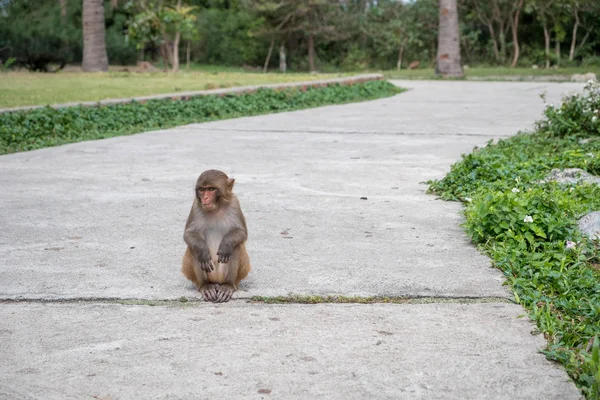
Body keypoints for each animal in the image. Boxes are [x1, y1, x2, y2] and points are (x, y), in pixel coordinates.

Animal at [180, 170, 251, 304]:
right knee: (193, 249)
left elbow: (241, 232)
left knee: (236, 247)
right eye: (202, 190)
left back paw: (228, 285)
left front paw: (226, 245)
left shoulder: (234, 203)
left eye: (211, 189)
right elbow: (189, 234)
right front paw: (203, 251)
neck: (216, 207)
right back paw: (205, 286)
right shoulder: (196, 205)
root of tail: (217, 282)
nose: (205, 198)